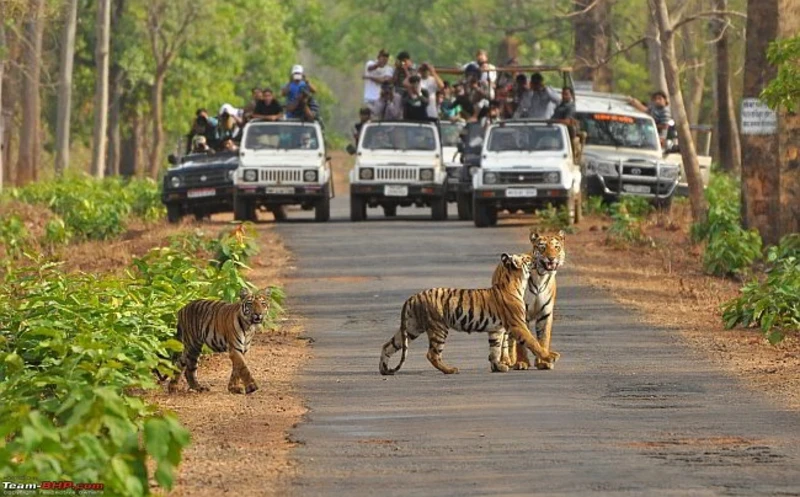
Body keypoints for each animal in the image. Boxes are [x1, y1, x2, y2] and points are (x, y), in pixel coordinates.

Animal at [379, 253, 560, 375]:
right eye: (528, 258)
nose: (536, 257)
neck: (516, 282)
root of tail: (412, 297)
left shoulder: (496, 330)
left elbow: (495, 349)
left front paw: (498, 367)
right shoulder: (518, 324)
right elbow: (533, 342)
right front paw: (550, 357)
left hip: (411, 328)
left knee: (388, 345)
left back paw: (384, 369)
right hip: (439, 327)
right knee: (432, 354)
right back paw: (450, 370)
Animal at [499, 230, 566, 371]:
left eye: (556, 247)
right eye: (542, 247)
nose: (551, 258)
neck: (541, 276)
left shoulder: (545, 314)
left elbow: (543, 338)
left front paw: (544, 362)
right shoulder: (520, 314)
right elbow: (522, 342)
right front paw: (522, 362)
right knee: (505, 339)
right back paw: (506, 361)